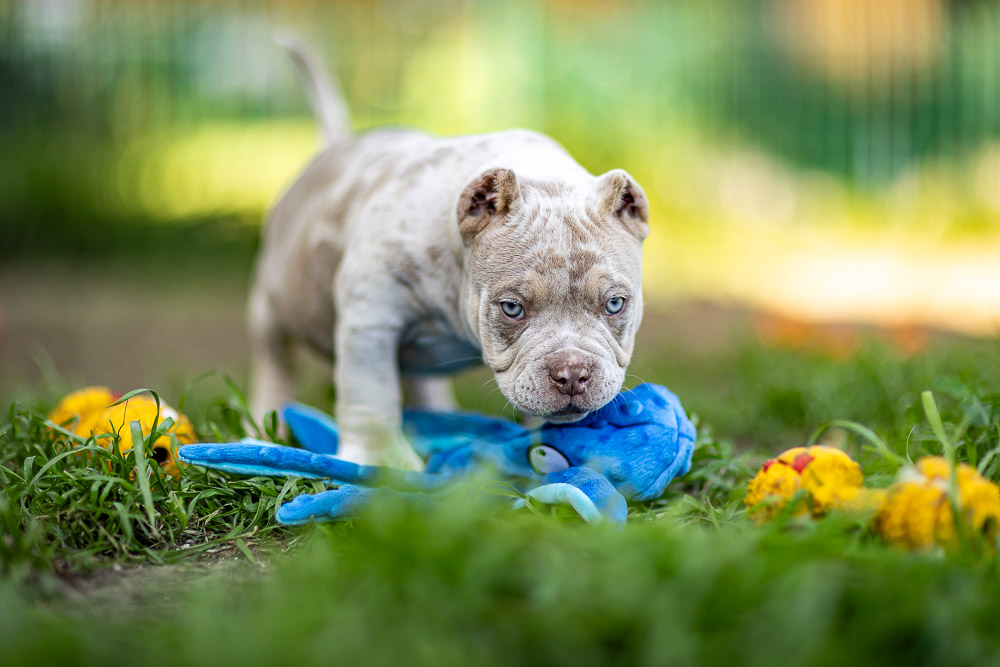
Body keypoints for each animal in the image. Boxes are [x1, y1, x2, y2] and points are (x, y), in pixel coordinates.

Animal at [248, 36, 651, 469]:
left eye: (615, 304)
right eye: (512, 308)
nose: (572, 373)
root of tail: (337, 147)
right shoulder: (370, 321)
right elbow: (372, 394)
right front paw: (379, 461)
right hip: (272, 305)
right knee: (276, 362)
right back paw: (264, 428)